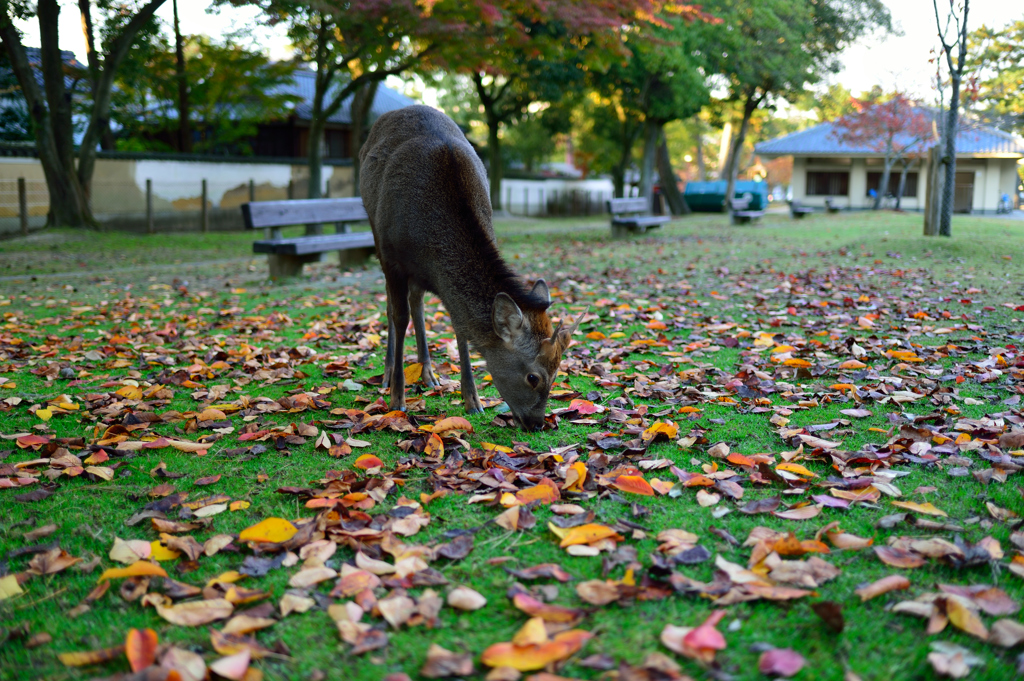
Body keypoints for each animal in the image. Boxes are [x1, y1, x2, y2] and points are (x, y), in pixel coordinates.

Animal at [360, 106, 585, 430]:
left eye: (557, 373)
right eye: (533, 377)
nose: (537, 423)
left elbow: (460, 326)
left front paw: (473, 401)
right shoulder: (393, 257)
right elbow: (399, 317)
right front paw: (397, 399)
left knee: (417, 301)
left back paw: (429, 374)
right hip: (374, 230)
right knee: (393, 307)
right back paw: (389, 373)